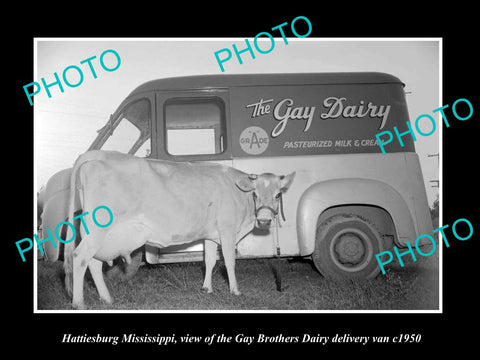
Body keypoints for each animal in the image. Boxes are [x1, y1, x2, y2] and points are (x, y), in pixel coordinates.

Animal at [62, 150, 294, 310]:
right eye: (255, 194)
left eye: (277, 195)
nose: (264, 220)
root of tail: (99, 153)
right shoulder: (228, 229)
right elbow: (229, 261)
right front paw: (235, 291)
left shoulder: (211, 234)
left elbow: (210, 260)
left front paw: (206, 288)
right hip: (99, 230)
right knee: (80, 257)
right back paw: (79, 303)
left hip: (101, 234)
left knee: (93, 262)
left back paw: (107, 298)